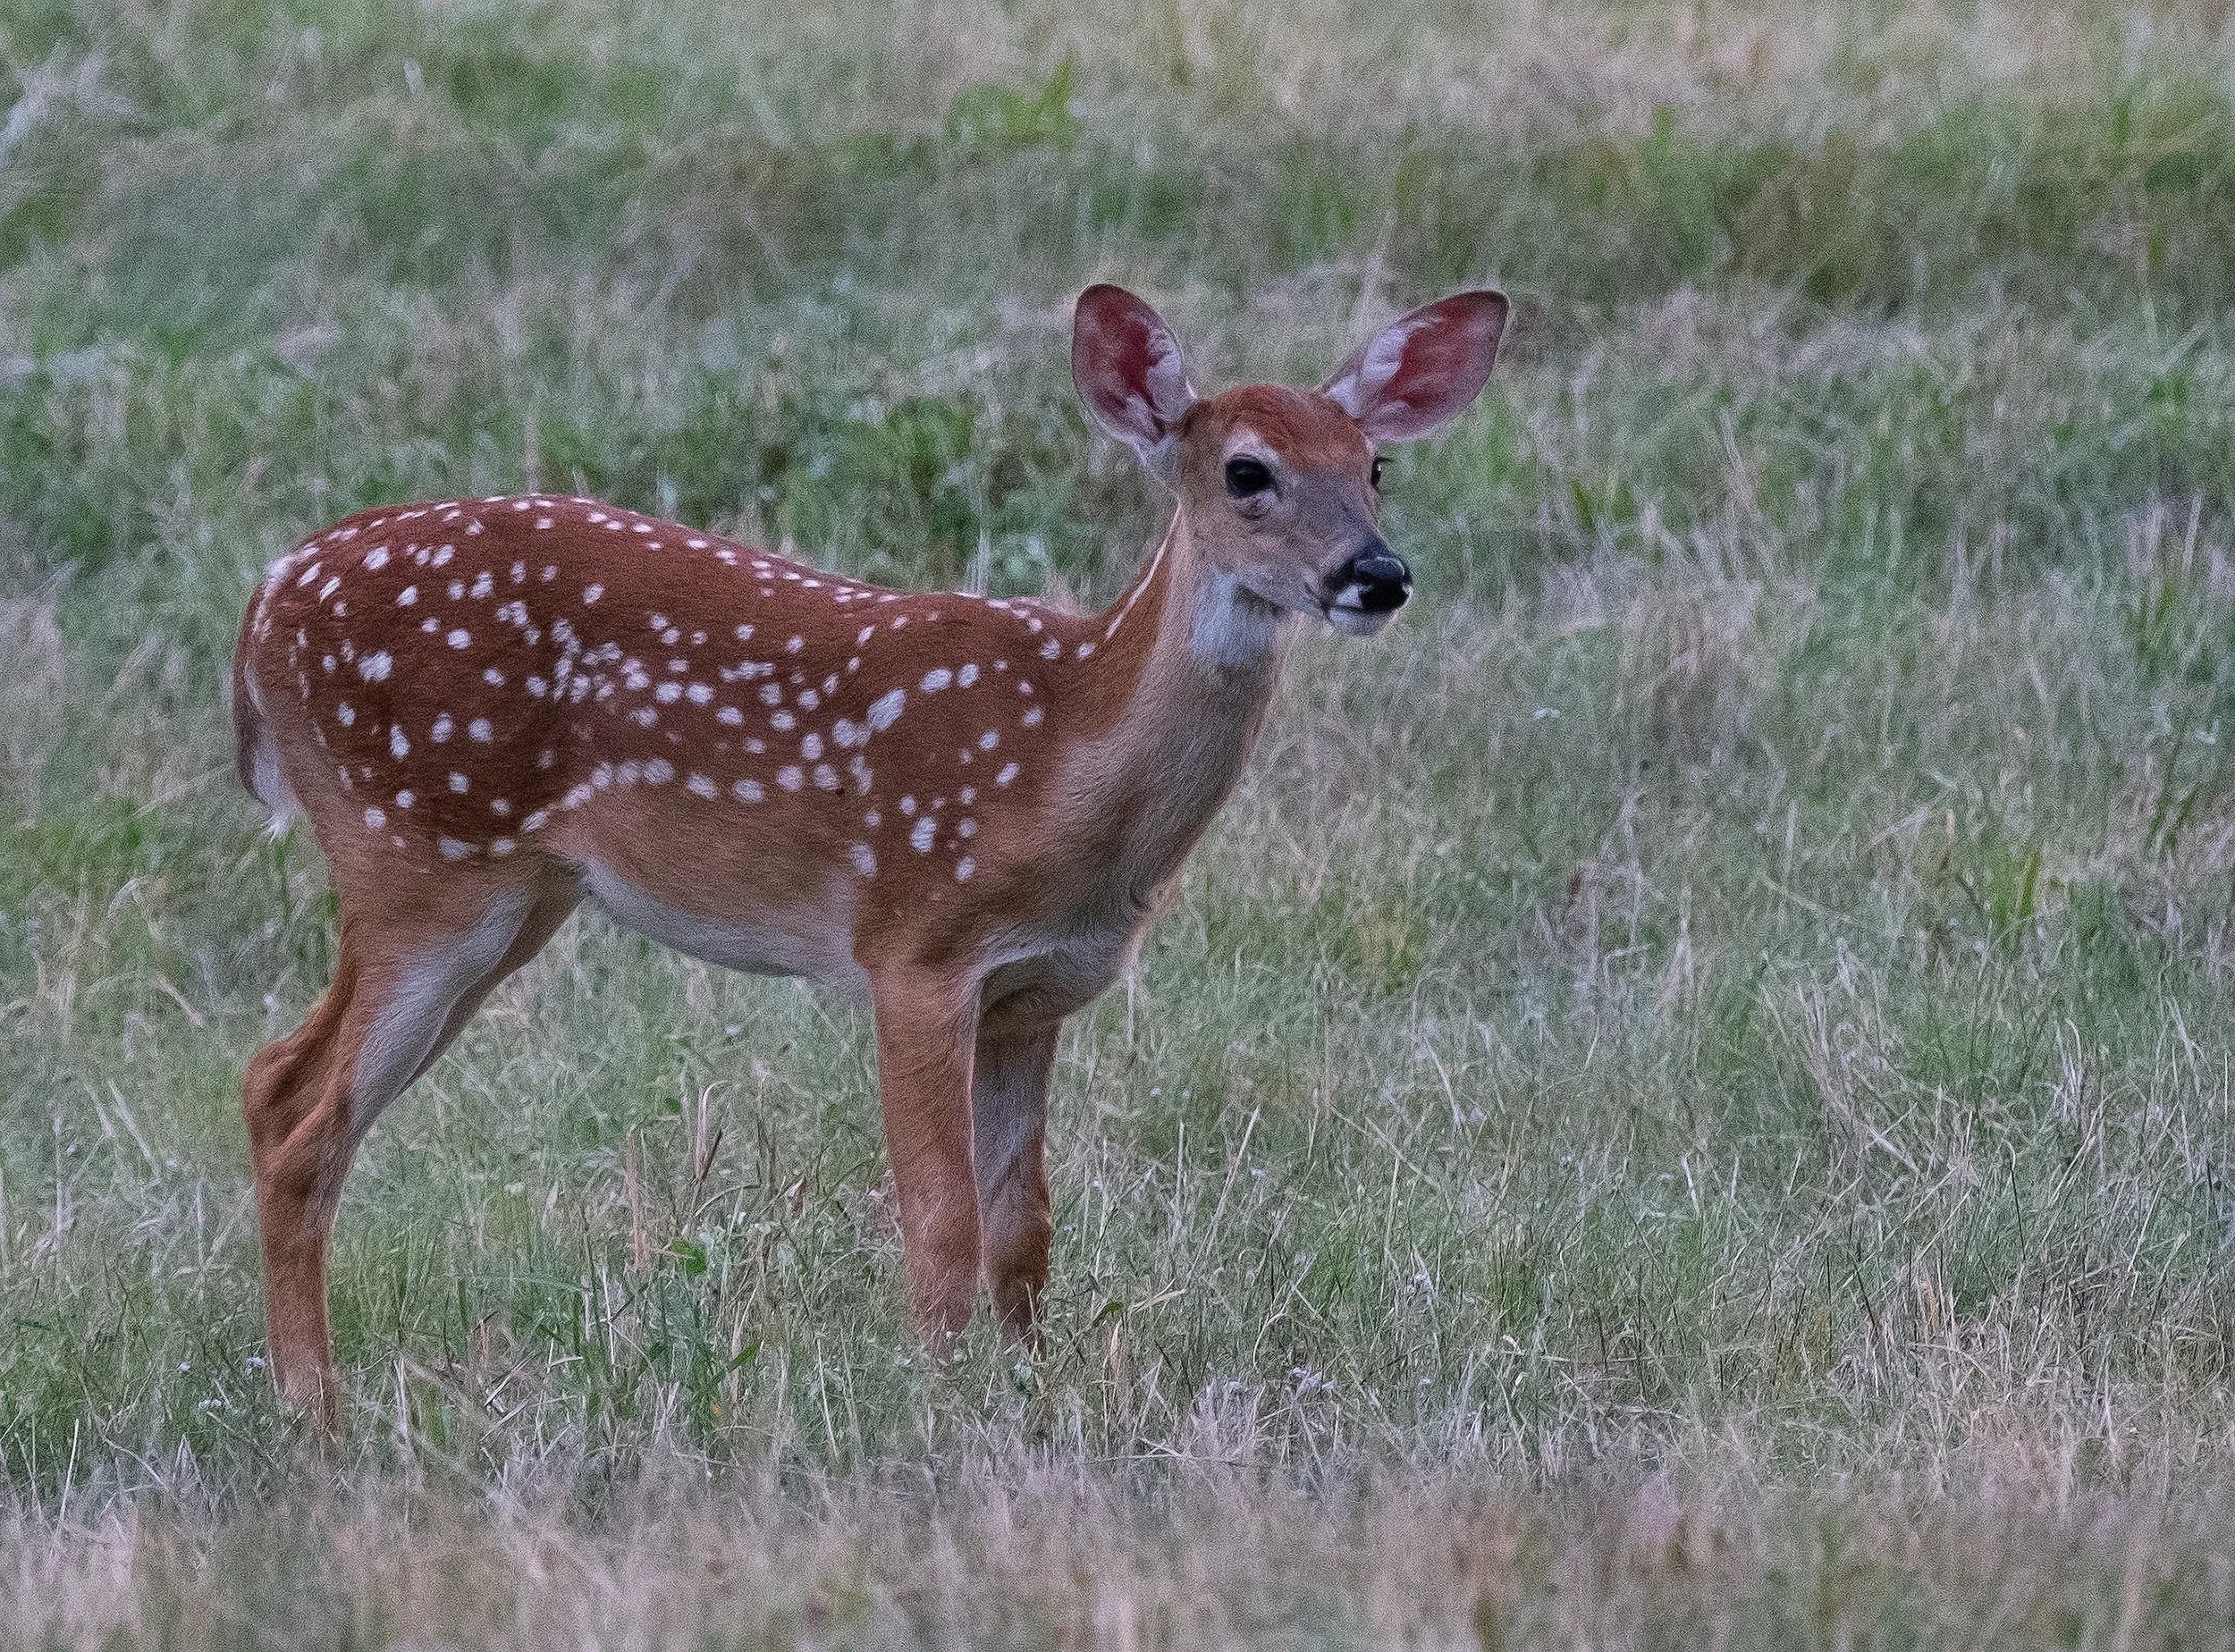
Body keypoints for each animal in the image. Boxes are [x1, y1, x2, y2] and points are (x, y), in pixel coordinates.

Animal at [231, 282, 1508, 1423]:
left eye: (1374, 466)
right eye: (1247, 472)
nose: (1376, 574)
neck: (1061, 761)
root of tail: (262, 605)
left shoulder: (1036, 994)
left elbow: (1023, 1230)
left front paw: (1032, 1408)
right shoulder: (915, 948)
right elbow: (939, 1224)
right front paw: (941, 1415)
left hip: (515, 893)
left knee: (270, 1078)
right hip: (419, 859)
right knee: (301, 1109)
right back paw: (314, 1417)